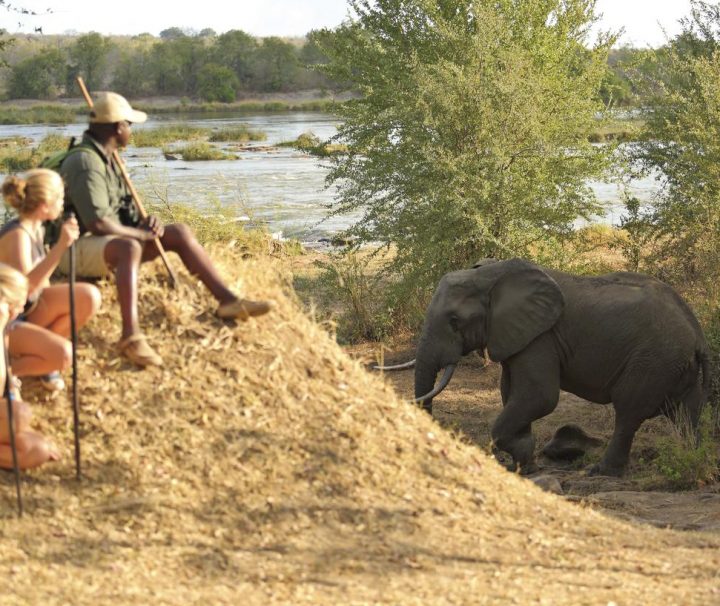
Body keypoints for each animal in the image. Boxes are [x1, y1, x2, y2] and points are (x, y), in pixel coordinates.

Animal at [404, 258, 708, 478]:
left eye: (454, 321)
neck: (491, 275)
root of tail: (698, 334)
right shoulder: (519, 337)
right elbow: (511, 392)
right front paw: (524, 465)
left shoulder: (541, 337)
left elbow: (540, 396)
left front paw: (522, 459)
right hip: (673, 366)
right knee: (686, 414)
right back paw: (692, 459)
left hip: (653, 361)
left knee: (628, 411)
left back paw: (600, 472)